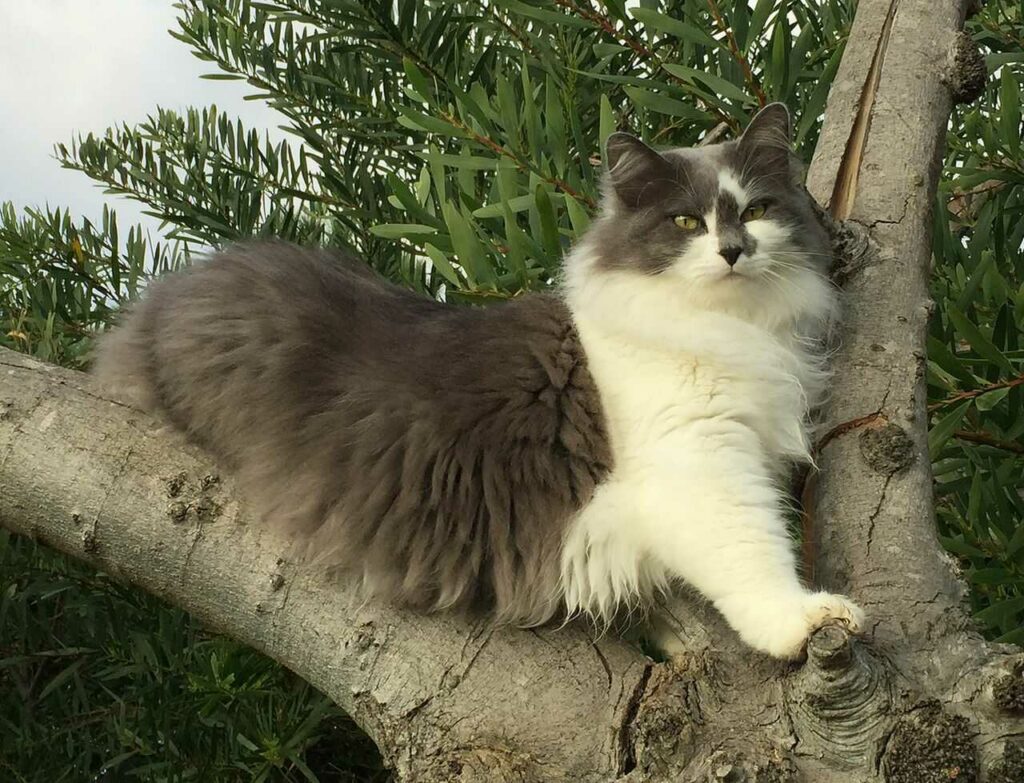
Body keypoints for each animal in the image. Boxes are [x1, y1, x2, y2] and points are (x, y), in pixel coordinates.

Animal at [94, 100, 864, 655]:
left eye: (757, 210)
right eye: (684, 223)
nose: (734, 250)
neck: (727, 327)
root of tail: (161, 294)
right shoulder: (701, 466)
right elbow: (752, 553)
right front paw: (804, 620)